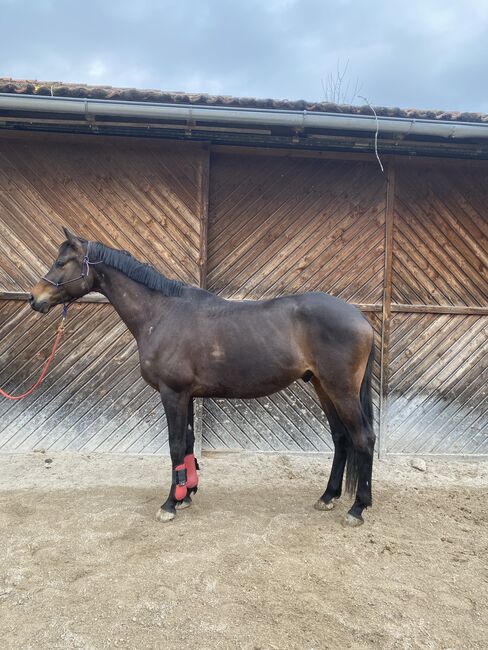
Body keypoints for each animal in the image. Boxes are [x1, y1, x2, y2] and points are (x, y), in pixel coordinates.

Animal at [29, 229, 374, 528]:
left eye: (62, 262)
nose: (35, 298)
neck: (162, 313)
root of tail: (360, 318)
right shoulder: (188, 395)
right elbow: (188, 444)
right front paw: (186, 494)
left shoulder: (172, 393)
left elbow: (174, 446)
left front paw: (169, 504)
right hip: (322, 386)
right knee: (341, 438)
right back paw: (328, 496)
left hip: (341, 390)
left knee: (363, 438)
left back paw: (358, 508)